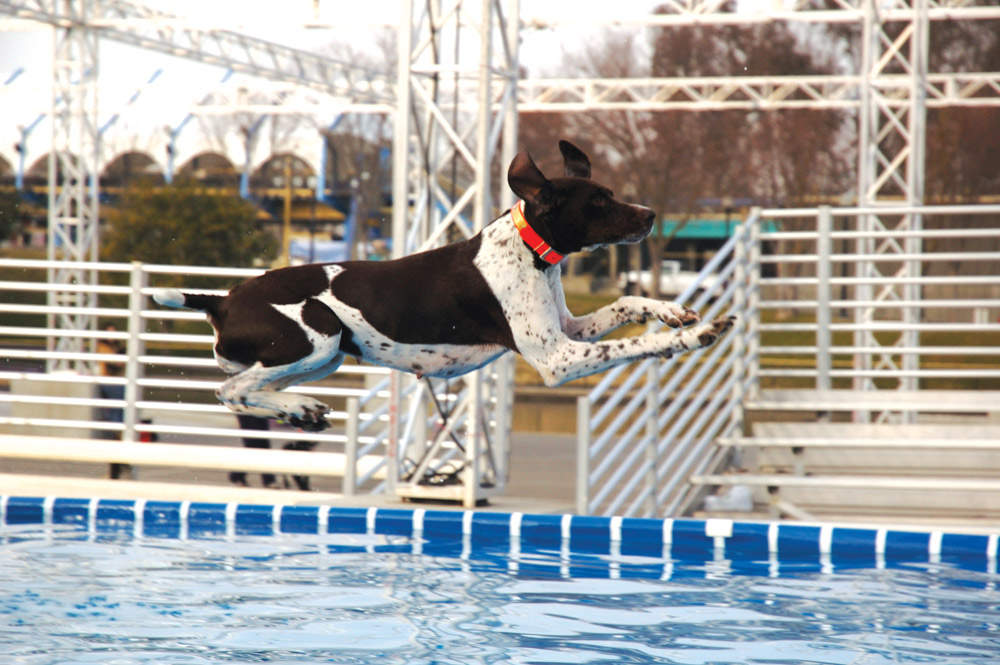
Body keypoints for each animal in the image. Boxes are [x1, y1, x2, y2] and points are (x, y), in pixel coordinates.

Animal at [156, 141, 736, 430]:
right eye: (597, 201)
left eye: (609, 192)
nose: (651, 215)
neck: (531, 251)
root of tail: (222, 299)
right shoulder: (557, 359)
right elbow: (636, 344)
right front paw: (694, 335)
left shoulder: (569, 329)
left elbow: (624, 304)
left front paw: (672, 310)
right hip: (313, 338)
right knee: (231, 391)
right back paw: (295, 407)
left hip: (328, 356)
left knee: (251, 391)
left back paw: (298, 409)